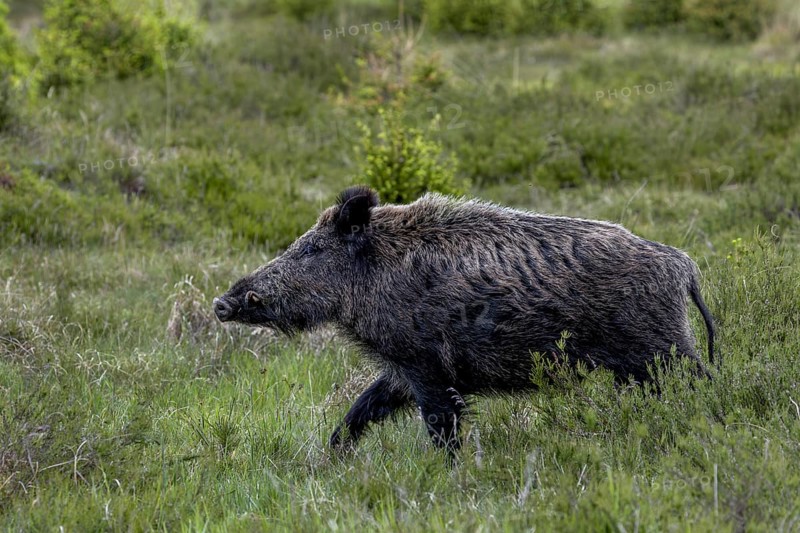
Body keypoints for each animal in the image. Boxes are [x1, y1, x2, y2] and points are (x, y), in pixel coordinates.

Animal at [213, 185, 715, 456]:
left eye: (314, 249)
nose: (222, 303)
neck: (374, 272)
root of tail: (683, 267)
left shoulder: (425, 364)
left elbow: (440, 424)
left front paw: (447, 476)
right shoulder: (401, 369)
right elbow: (362, 408)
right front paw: (332, 457)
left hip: (662, 349)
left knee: (704, 382)